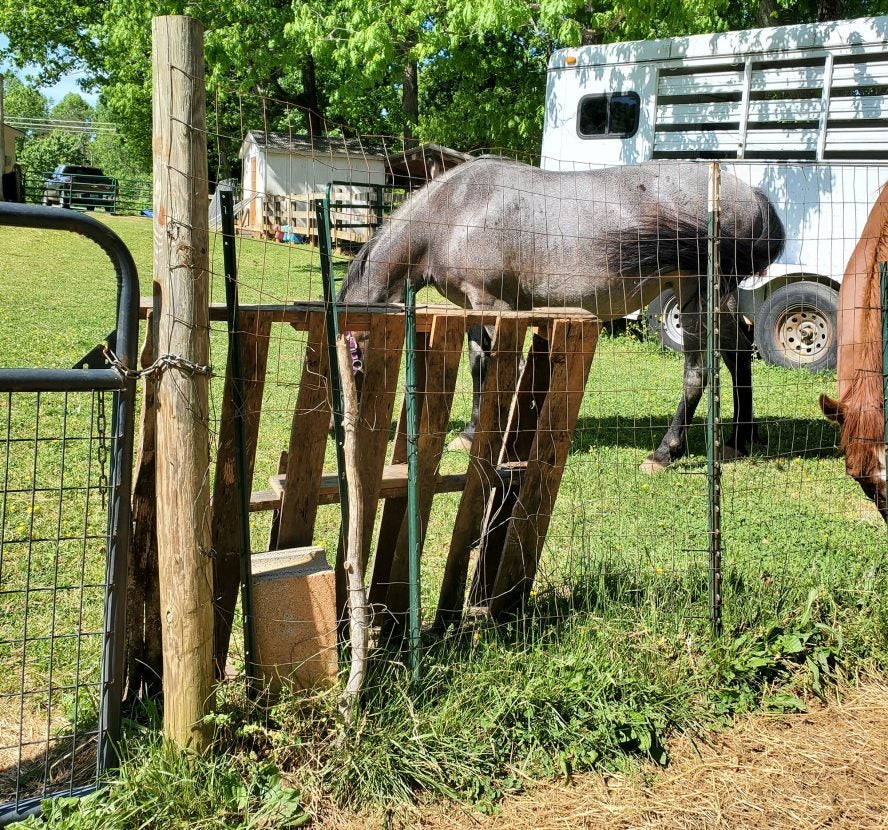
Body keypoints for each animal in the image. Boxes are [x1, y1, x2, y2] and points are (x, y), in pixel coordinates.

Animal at [338, 156, 784, 468]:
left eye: (353, 354)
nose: (345, 426)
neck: (456, 210)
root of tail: (749, 195)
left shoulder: (494, 304)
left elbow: (501, 368)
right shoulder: (475, 307)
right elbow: (480, 366)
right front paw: (470, 434)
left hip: (699, 294)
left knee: (699, 372)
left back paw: (664, 453)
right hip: (717, 298)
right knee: (738, 357)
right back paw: (740, 440)